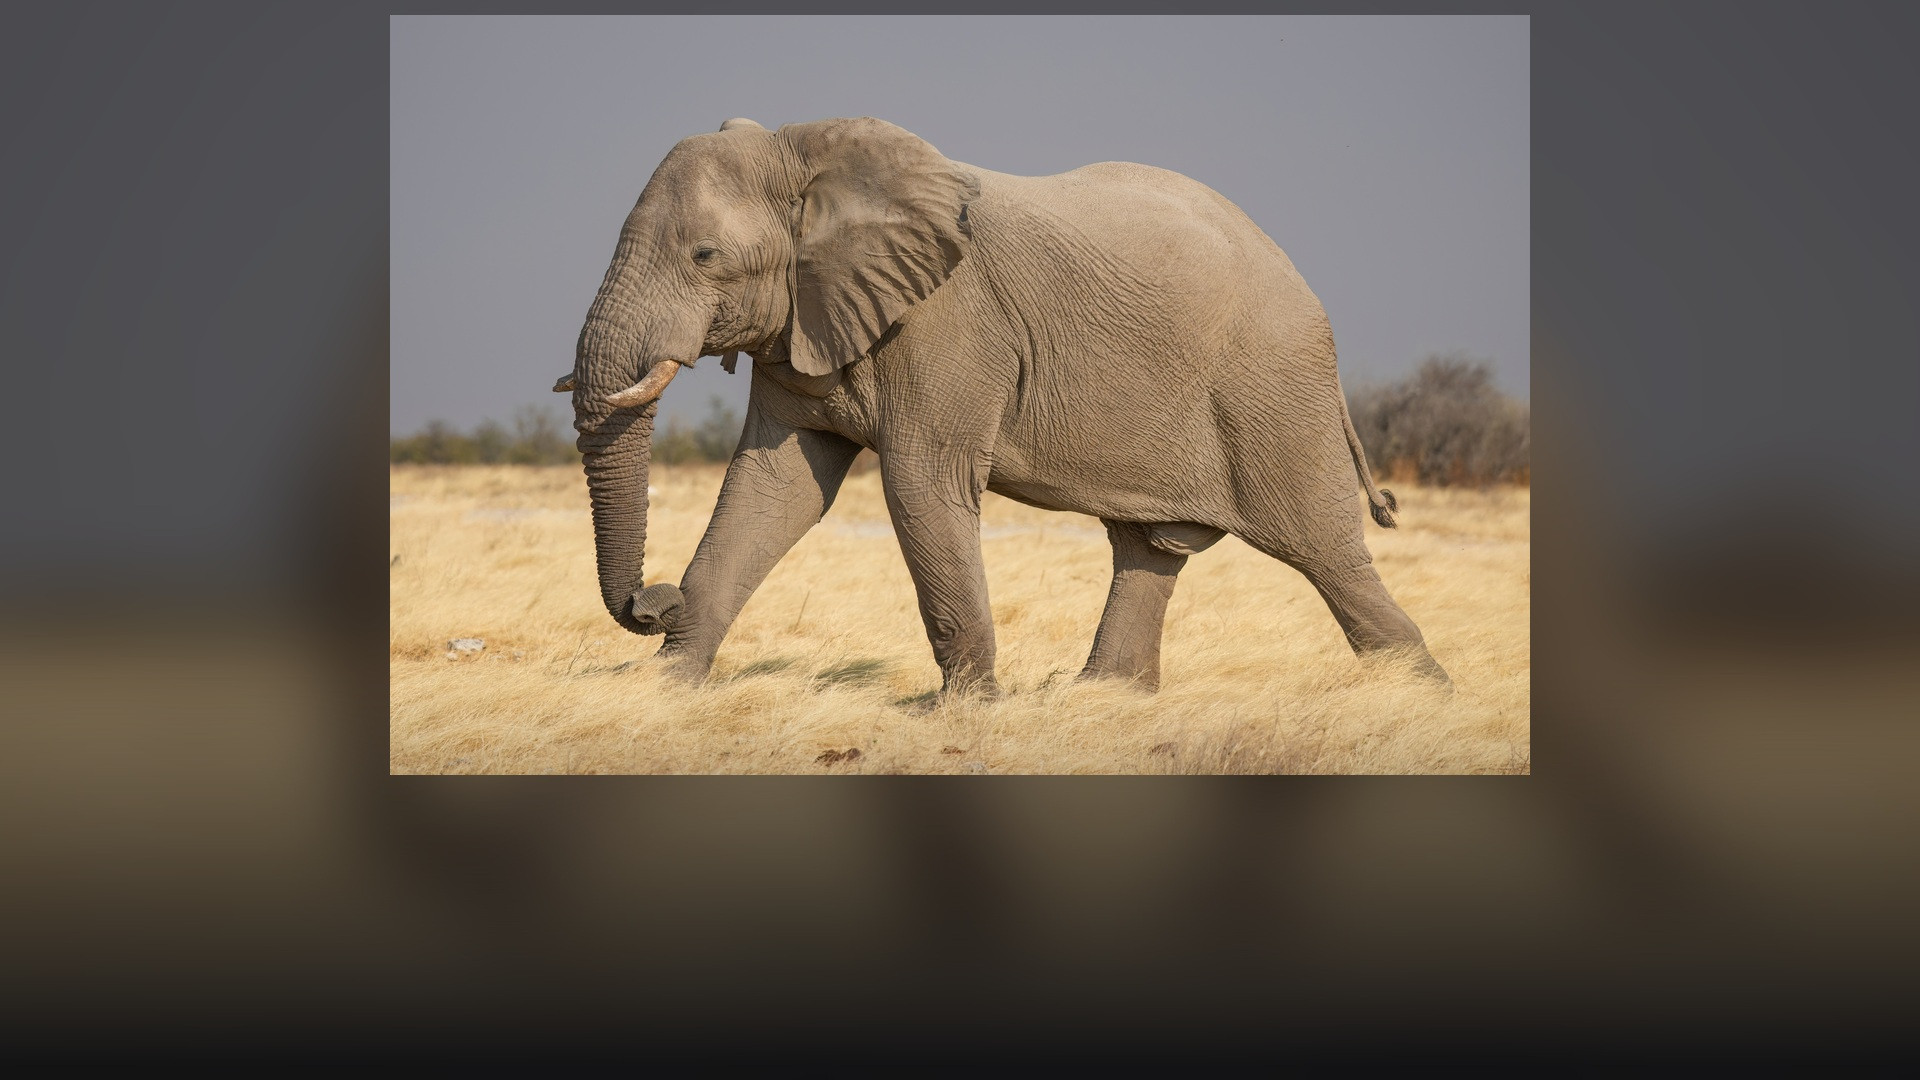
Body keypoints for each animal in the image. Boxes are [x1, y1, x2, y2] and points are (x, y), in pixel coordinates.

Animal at [555, 116, 1448, 696]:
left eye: (705, 256)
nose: (652, 600)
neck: (809, 149)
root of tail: (1303, 283)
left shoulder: (949, 324)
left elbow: (920, 486)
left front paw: (963, 714)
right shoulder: (804, 320)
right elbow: (773, 489)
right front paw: (664, 695)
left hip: (1273, 390)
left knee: (1325, 553)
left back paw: (1421, 698)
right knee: (1150, 548)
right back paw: (1102, 701)